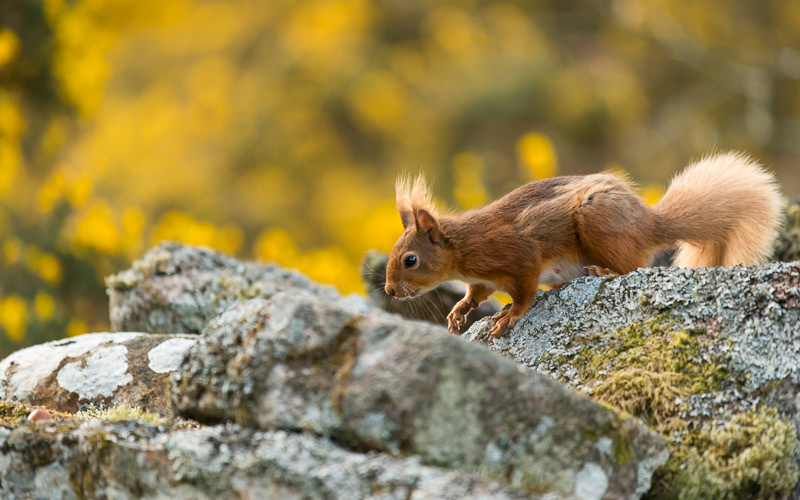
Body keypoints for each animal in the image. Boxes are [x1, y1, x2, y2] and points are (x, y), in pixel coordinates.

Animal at [384, 151, 782, 339]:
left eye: (410, 260)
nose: (388, 290)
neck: (463, 247)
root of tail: (646, 223)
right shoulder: (482, 280)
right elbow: (476, 294)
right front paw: (458, 312)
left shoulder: (518, 256)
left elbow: (525, 292)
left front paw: (509, 316)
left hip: (597, 222)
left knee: (634, 267)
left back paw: (600, 270)